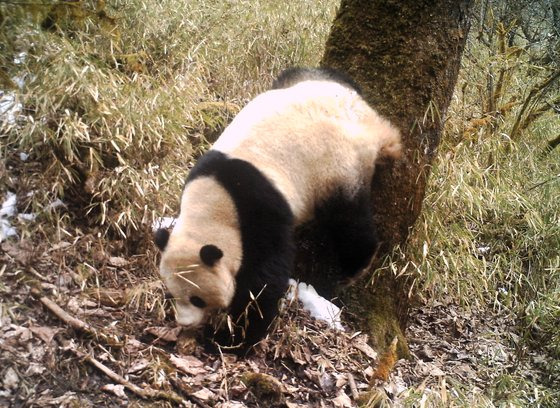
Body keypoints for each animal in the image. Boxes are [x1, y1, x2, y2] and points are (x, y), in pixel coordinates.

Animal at [155, 67, 400, 354]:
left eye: (197, 299)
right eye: (173, 293)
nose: (184, 322)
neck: (212, 204)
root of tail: (366, 119)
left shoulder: (261, 208)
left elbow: (264, 279)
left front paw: (232, 339)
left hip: (339, 167)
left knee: (349, 222)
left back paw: (353, 269)